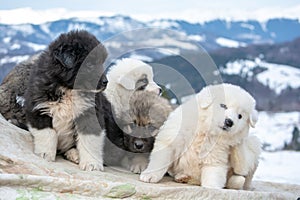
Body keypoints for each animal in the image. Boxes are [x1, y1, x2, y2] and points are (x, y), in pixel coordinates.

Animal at [24, 29, 108, 170]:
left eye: (102, 63)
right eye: (89, 64)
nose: (106, 82)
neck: (68, 89)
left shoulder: (90, 113)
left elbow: (89, 139)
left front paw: (91, 164)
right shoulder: (39, 108)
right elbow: (48, 133)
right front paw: (45, 154)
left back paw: (74, 154)